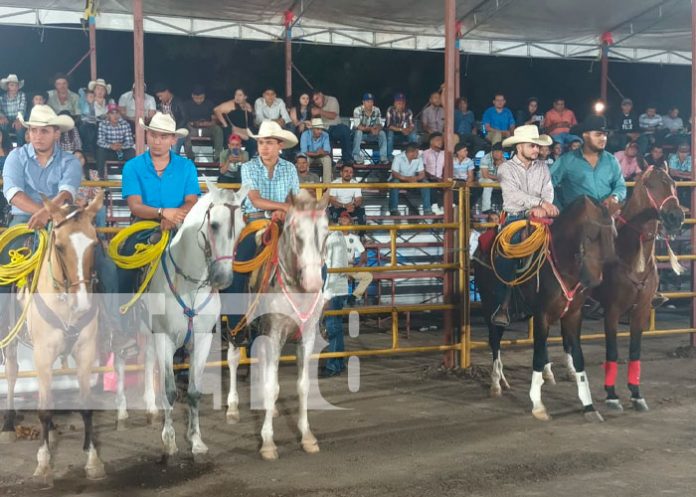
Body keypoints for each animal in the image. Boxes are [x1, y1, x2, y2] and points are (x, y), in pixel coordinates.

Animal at [1, 191, 106, 484]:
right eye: (59, 246)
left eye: (95, 243)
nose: (82, 304)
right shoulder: (43, 354)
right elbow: (44, 409)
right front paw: (44, 463)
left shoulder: (86, 350)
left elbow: (85, 405)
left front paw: (93, 460)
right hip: (10, 336)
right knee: (12, 372)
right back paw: (9, 425)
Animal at [113, 181, 245, 458]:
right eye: (214, 225)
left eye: (240, 227)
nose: (223, 278)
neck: (190, 285)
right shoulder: (165, 339)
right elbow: (170, 391)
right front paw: (170, 440)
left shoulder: (202, 340)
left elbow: (193, 392)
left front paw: (196, 440)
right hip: (125, 327)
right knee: (119, 358)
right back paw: (121, 411)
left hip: (147, 330)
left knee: (146, 358)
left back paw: (151, 408)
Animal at [226, 188, 328, 460]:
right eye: (295, 231)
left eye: (326, 232)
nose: (313, 282)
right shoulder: (274, 334)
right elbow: (272, 386)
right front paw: (268, 443)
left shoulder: (307, 336)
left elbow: (303, 386)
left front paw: (307, 437)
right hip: (234, 322)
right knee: (232, 358)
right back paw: (232, 407)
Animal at [474, 196, 616, 420]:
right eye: (590, 235)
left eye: (612, 236)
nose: (594, 281)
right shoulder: (542, 315)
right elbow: (538, 356)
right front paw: (538, 405)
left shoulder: (573, 315)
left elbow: (577, 355)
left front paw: (589, 406)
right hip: (491, 306)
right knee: (495, 340)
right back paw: (496, 383)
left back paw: (510, 380)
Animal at [592, 165, 684, 412]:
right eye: (650, 185)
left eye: (673, 183)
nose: (676, 216)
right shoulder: (612, 311)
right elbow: (612, 350)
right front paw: (612, 396)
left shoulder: (641, 309)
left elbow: (635, 349)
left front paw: (636, 394)